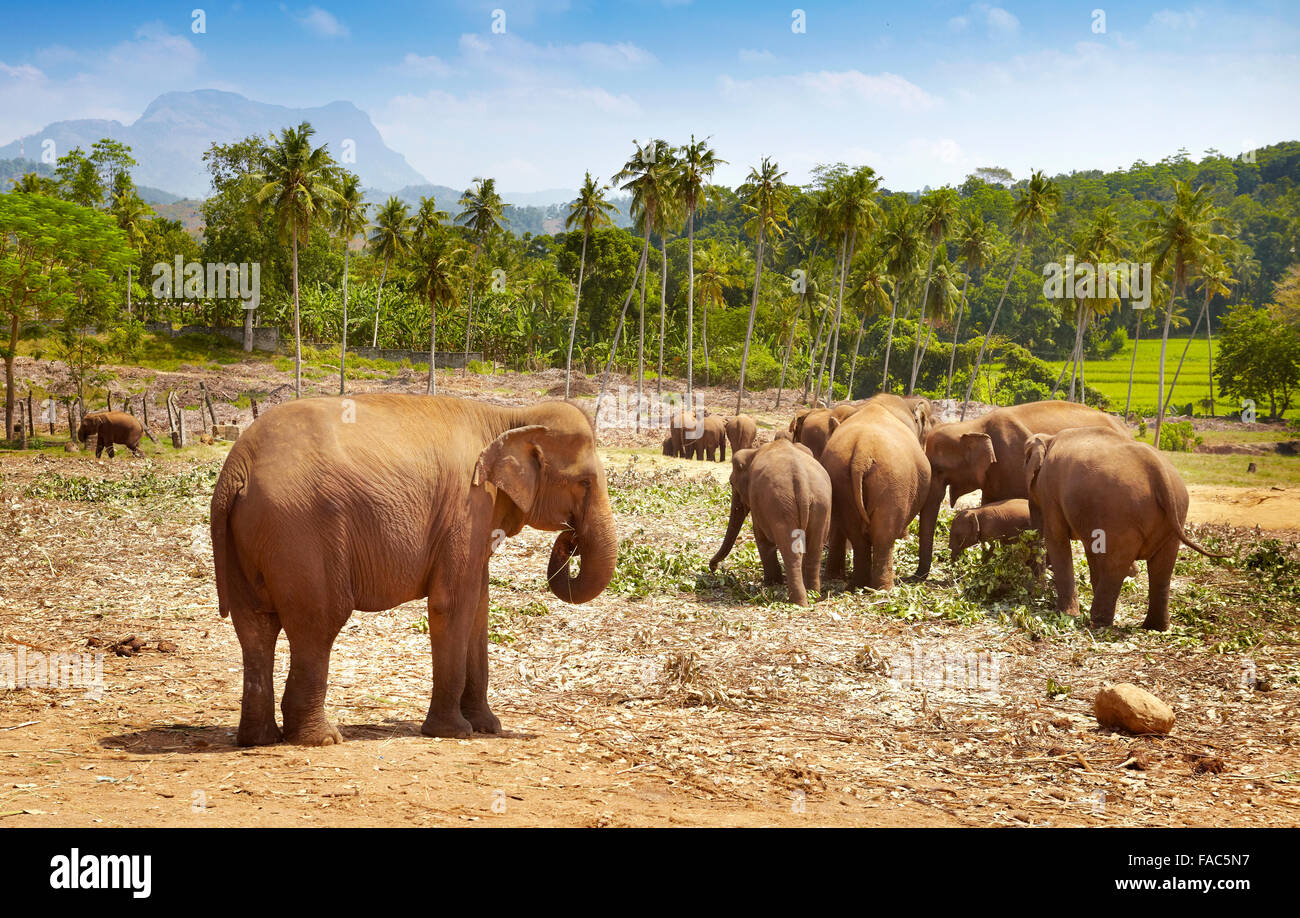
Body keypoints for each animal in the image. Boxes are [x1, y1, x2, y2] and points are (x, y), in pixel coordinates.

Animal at [210, 395, 616, 743]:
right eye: (584, 482)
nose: (570, 538)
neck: (510, 418)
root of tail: (237, 467)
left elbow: (479, 607)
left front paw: (487, 727)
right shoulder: (468, 505)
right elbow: (453, 603)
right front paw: (455, 732)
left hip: (250, 539)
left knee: (255, 627)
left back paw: (258, 739)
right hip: (299, 532)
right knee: (318, 622)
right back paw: (322, 738)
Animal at [712, 436, 832, 603]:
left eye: (731, 483)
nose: (713, 568)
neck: (755, 452)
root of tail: (801, 480)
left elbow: (761, 537)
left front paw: (771, 583)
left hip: (780, 506)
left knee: (790, 550)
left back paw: (798, 601)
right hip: (821, 504)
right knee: (815, 547)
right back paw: (813, 595)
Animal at [821, 395, 925, 587]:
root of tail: (861, 455)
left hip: (842, 479)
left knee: (857, 534)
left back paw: (858, 584)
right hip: (893, 483)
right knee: (884, 535)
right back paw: (883, 588)